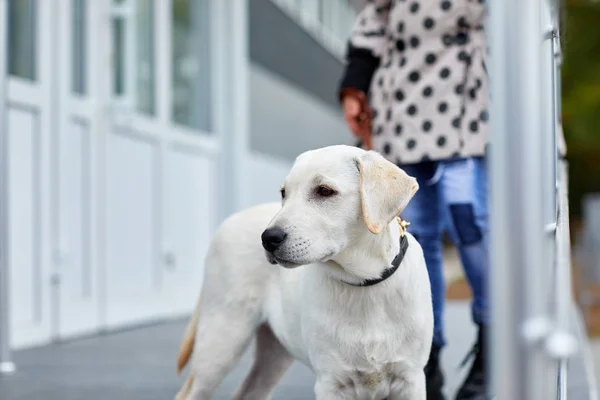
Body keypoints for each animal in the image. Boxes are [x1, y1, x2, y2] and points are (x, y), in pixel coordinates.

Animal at [173, 145, 432, 398]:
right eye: (284, 193)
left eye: (324, 191)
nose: (268, 238)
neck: (363, 282)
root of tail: (228, 221)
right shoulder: (331, 382)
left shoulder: (410, 379)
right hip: (222, 340)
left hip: (273, 353)